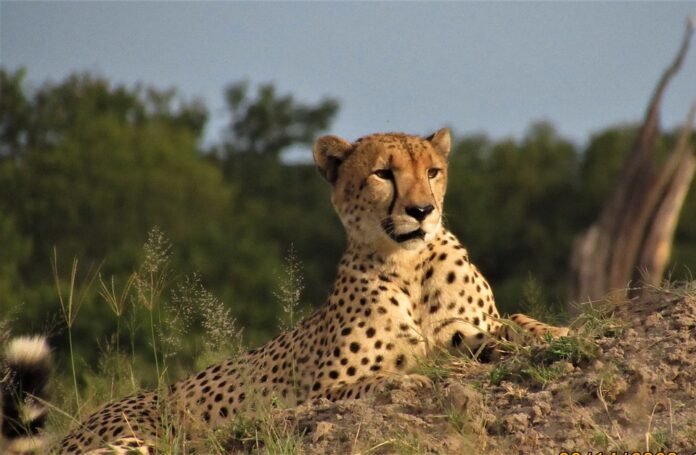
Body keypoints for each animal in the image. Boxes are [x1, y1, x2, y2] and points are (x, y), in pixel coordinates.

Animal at [1, 128, 567, 454]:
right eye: (383, 174)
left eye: (432, 171)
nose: (423, 211)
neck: (409, 266)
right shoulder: (324, 390)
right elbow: (396, 373)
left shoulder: (472, 326)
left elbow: (515, 325)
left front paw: (548, 334)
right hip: (134, 436)